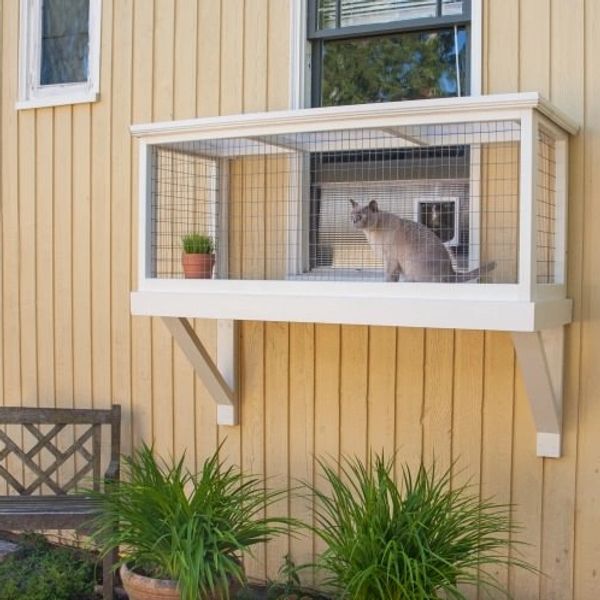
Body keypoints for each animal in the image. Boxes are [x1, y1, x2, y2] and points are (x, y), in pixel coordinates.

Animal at [350, 199, 494, 284]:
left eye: (361, 216)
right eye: (352, 214)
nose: (354, 221)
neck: (370, 233)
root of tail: (451, 272)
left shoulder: (390, 259)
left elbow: (389, 276)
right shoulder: (390, 260)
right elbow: (392, 276)